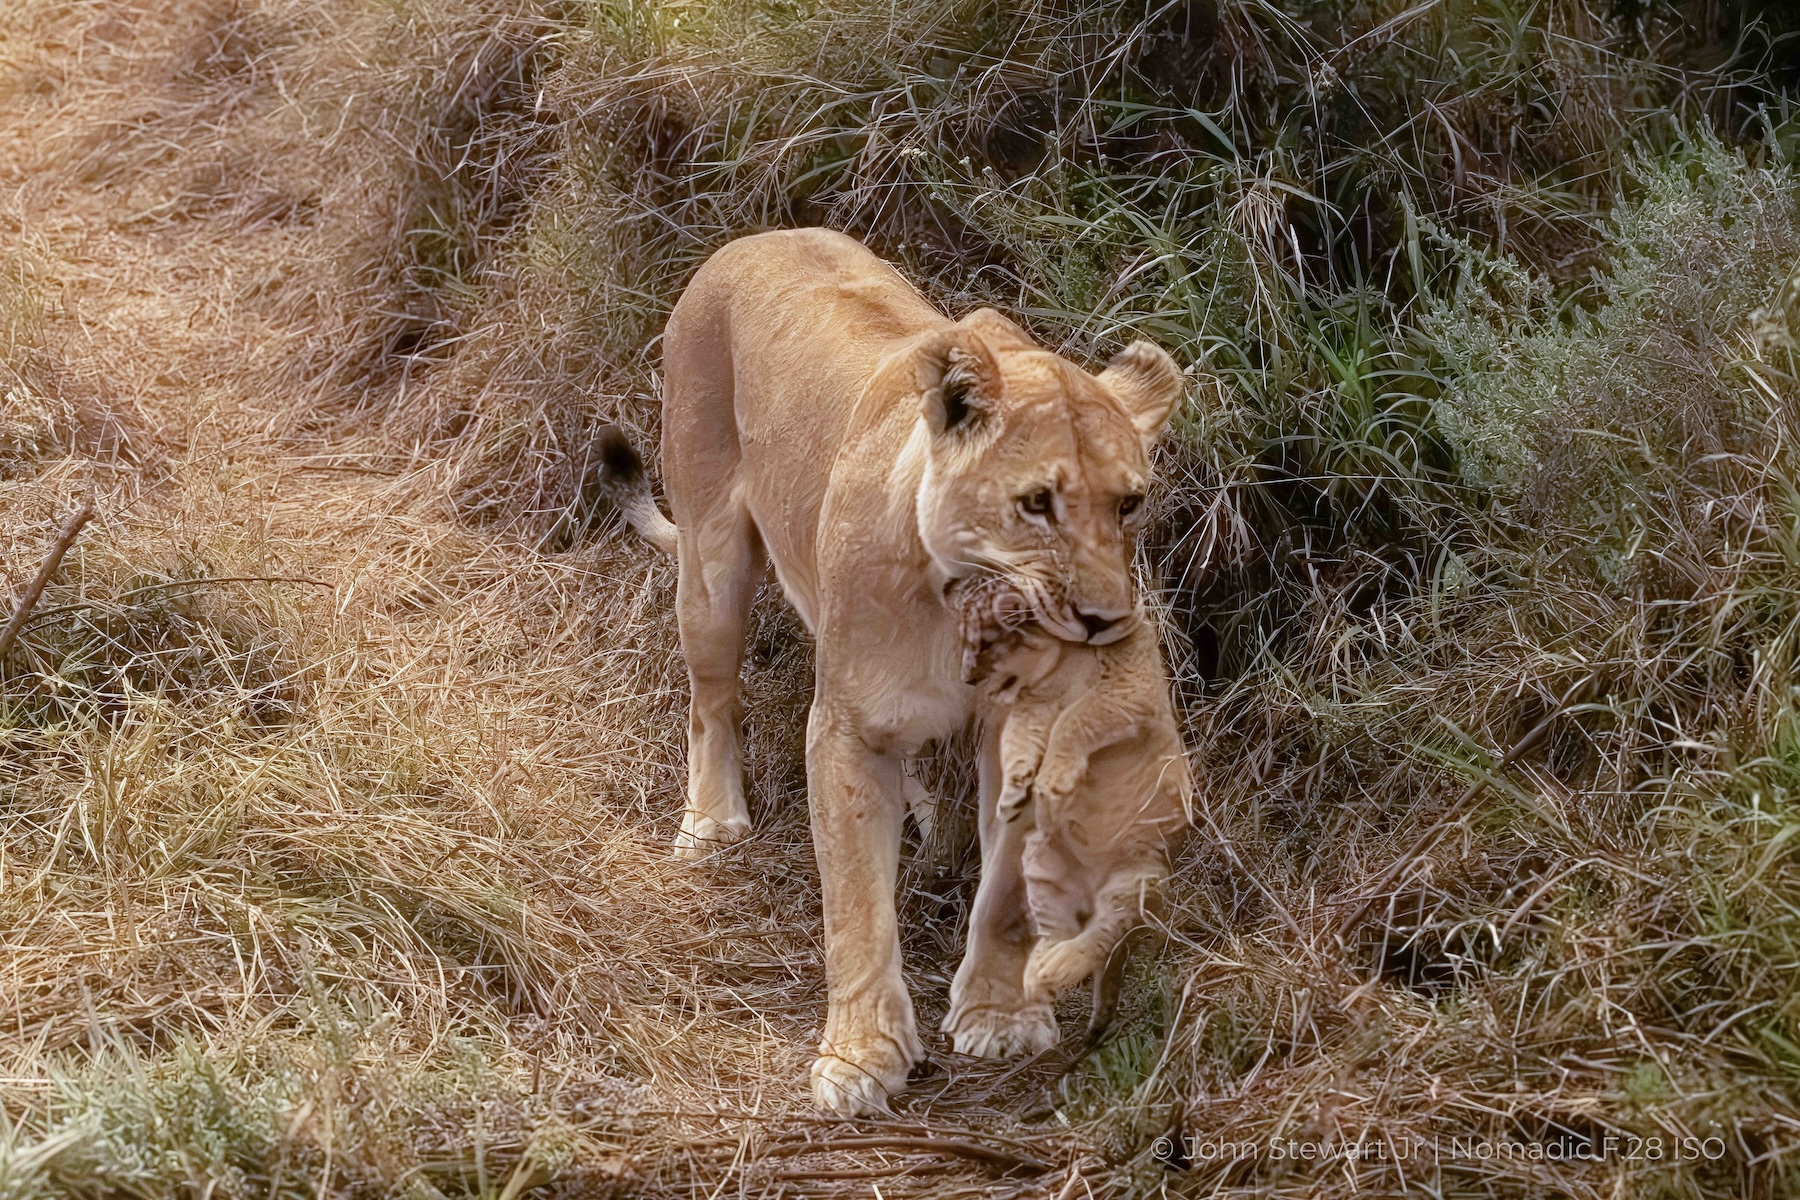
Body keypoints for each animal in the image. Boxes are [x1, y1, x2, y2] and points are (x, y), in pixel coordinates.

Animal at [950, 575, 1192, 1042]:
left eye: (985, 643)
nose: (967, 679)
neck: (1064, 661)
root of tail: (1088, 891)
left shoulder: (1125, 692)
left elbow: (1073, 721)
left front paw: (1051, 784)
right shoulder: (1034, 706)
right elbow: (1018, 740)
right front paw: (1015, 793)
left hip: (1139, 876)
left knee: (1107, 932)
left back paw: (1055, 968)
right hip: (1043, 867)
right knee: (1059, 928)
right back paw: (1038, 971)